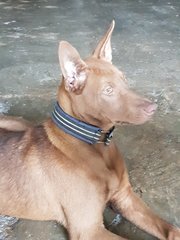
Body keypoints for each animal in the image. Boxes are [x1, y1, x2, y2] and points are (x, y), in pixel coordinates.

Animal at [0, 21, 180, 240]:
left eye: (125, 79)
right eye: (108, 91)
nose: (153, 108)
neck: (96, 146)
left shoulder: (124, 197)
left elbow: (171, 229)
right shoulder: (89, 229)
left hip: (21, 123)